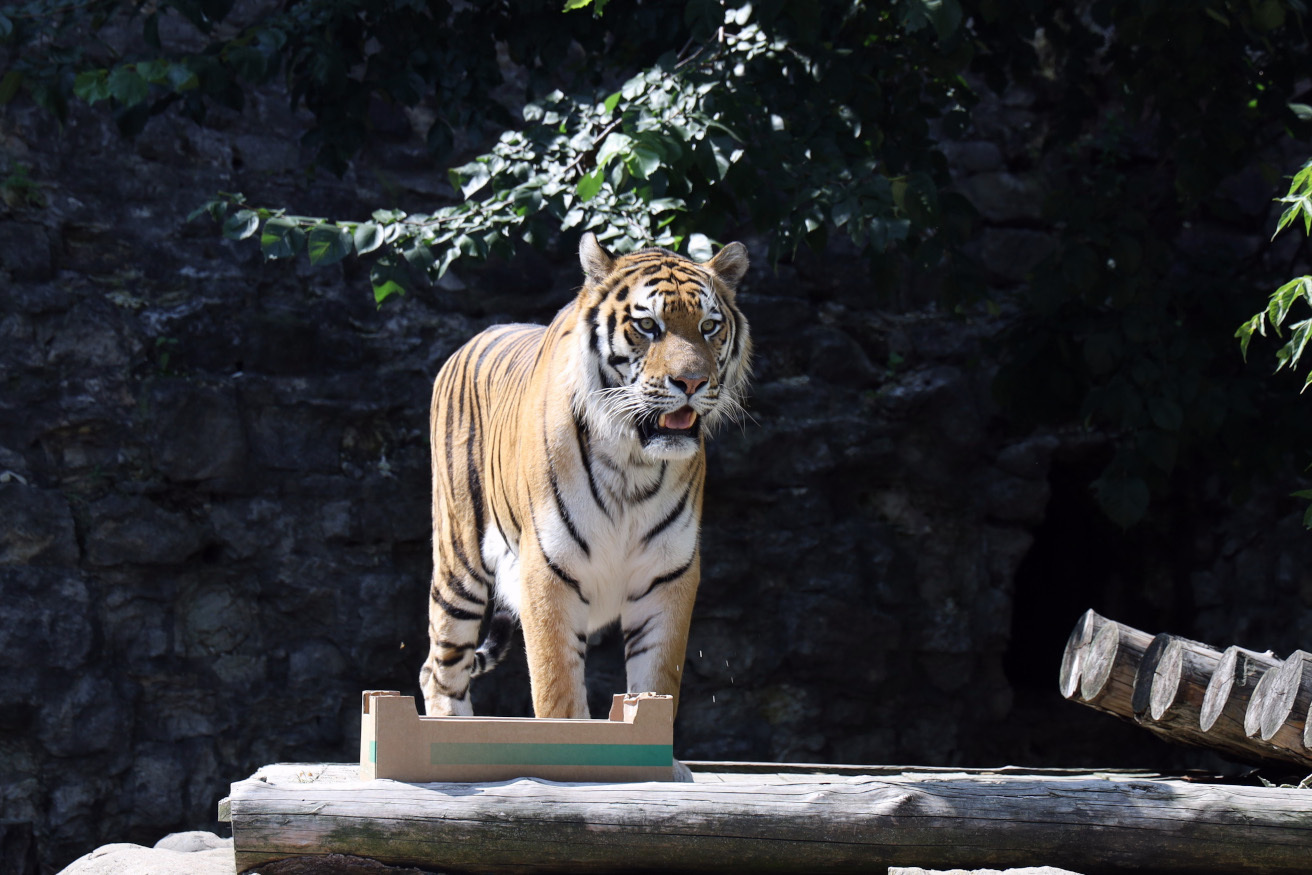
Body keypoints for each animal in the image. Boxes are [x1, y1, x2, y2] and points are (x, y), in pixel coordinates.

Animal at [419, 232, 751, 719]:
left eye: (709, 326)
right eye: (647, 325)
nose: (691, 382)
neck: (633, 462)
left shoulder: (668, 574)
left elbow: (656, 687)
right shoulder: (548, 571)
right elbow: (559, 696)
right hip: (458, 561)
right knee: (441, 671)